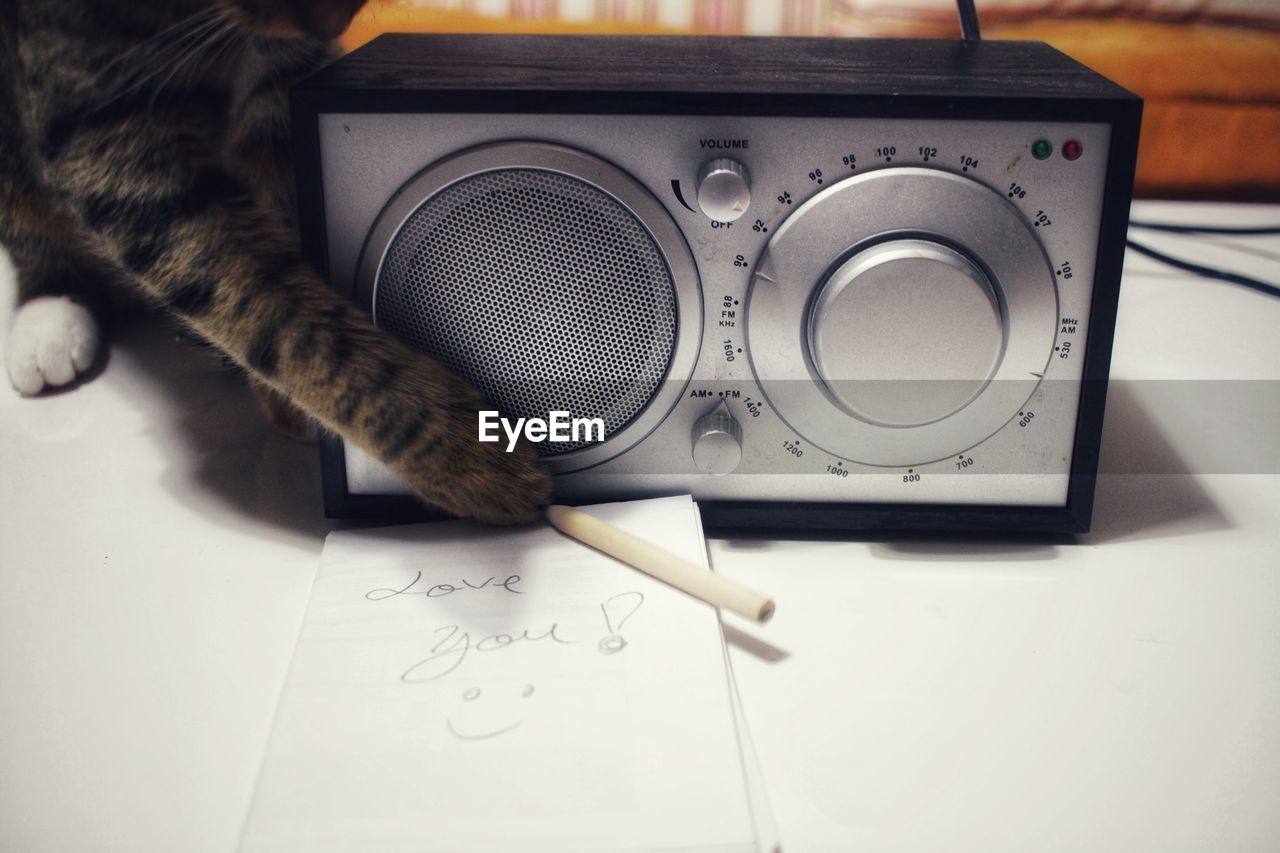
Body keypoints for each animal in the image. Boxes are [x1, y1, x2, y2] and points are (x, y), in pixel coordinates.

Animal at [1, 0, 550, 522]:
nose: (325, 25)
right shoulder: (103, 130)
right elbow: (278, 317)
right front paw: (471, 459)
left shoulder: (277, 81)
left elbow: (279, 213)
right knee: (30, 223)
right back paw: (47, 321)